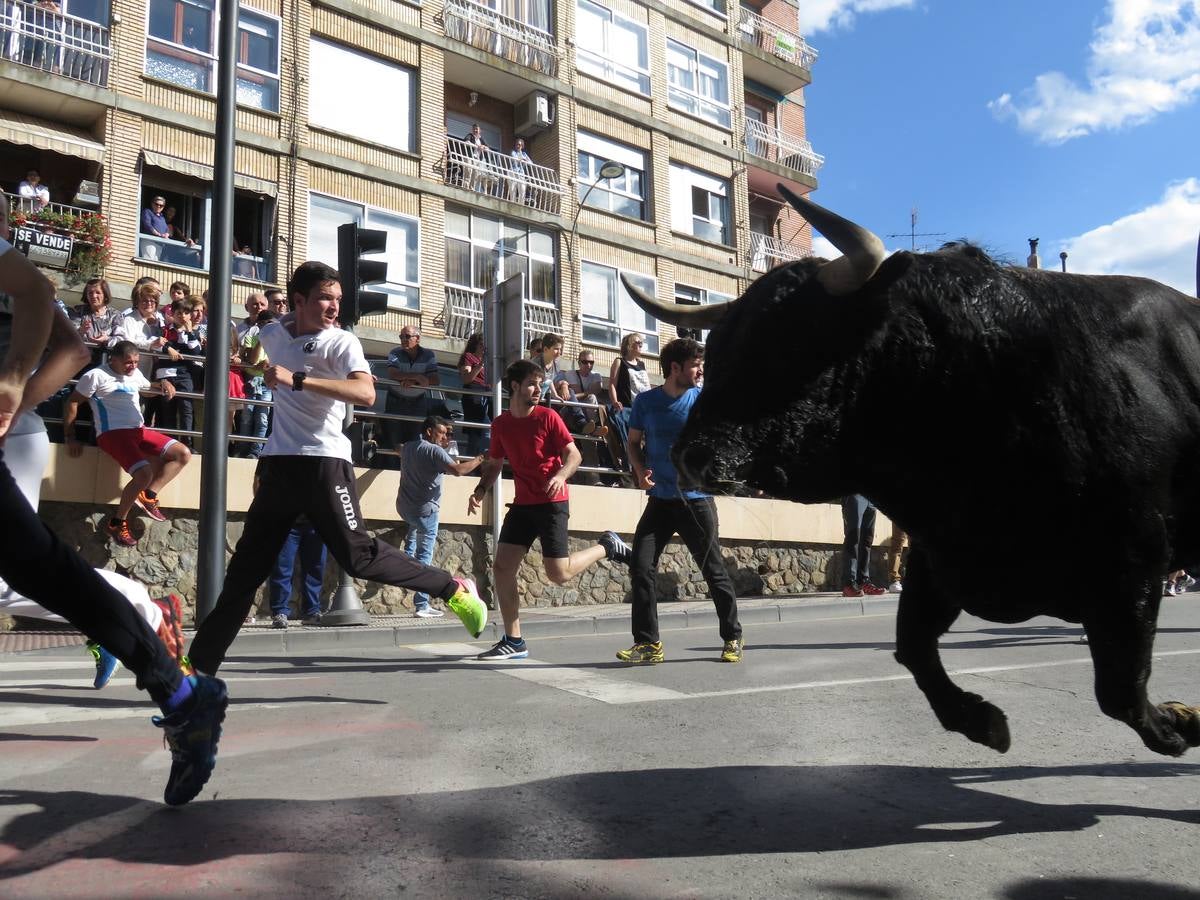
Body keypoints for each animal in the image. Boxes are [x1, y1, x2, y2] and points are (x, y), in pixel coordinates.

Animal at [624, 187, 1200, 758]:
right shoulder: (939, 556)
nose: (689, 456)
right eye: (717, 349)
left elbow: (1120, 686)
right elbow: (913, 649)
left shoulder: (1133, 561)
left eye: (791, 337)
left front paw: (1177, 724)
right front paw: (981, 721)